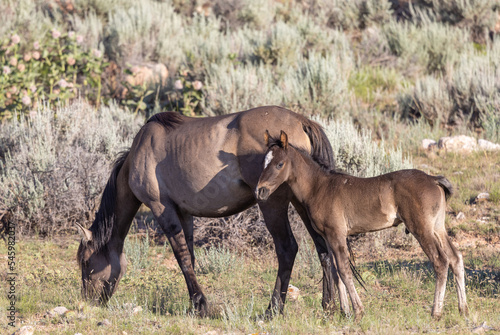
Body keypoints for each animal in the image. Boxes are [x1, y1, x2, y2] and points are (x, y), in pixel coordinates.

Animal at [76, 107, 350, 318]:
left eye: (86, 262)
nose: (88, 301)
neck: (139, 154)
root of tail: (301, 120)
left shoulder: (162, 209)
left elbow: (182, 257)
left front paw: (200, 305)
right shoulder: (184, 214)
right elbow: (189, 257)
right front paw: (193, 305)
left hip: (273, 203)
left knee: (287, 249)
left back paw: (272, 310)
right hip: (302, 204)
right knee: (322, 249)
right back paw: (328, 306)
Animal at [256, 130, 470, 322]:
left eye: (279, 164)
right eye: (263, 163)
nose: (260, 191)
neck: (319, 188)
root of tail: (434, 179)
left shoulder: (336, 234)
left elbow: (344, 270)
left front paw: (357, 311)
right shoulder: (328, 237)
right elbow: (336, 273)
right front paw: (345, 313)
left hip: (421, 228)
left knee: (440, 261)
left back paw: (436, 313)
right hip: (437, 227)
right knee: (455, 257)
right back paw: (463, 309)